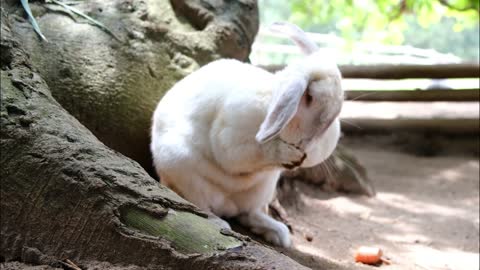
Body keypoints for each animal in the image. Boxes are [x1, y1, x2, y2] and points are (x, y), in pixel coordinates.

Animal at [150, 22, 342, 248]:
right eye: (310, 97)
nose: (323, 137)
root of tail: (228, 205)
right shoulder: (232, 139)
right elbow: (249, 152)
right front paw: (290, 154)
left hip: (262, 190)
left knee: (249, 214)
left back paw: (280, 234)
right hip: (183, 171)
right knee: (200, 208)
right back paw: (220, 223)